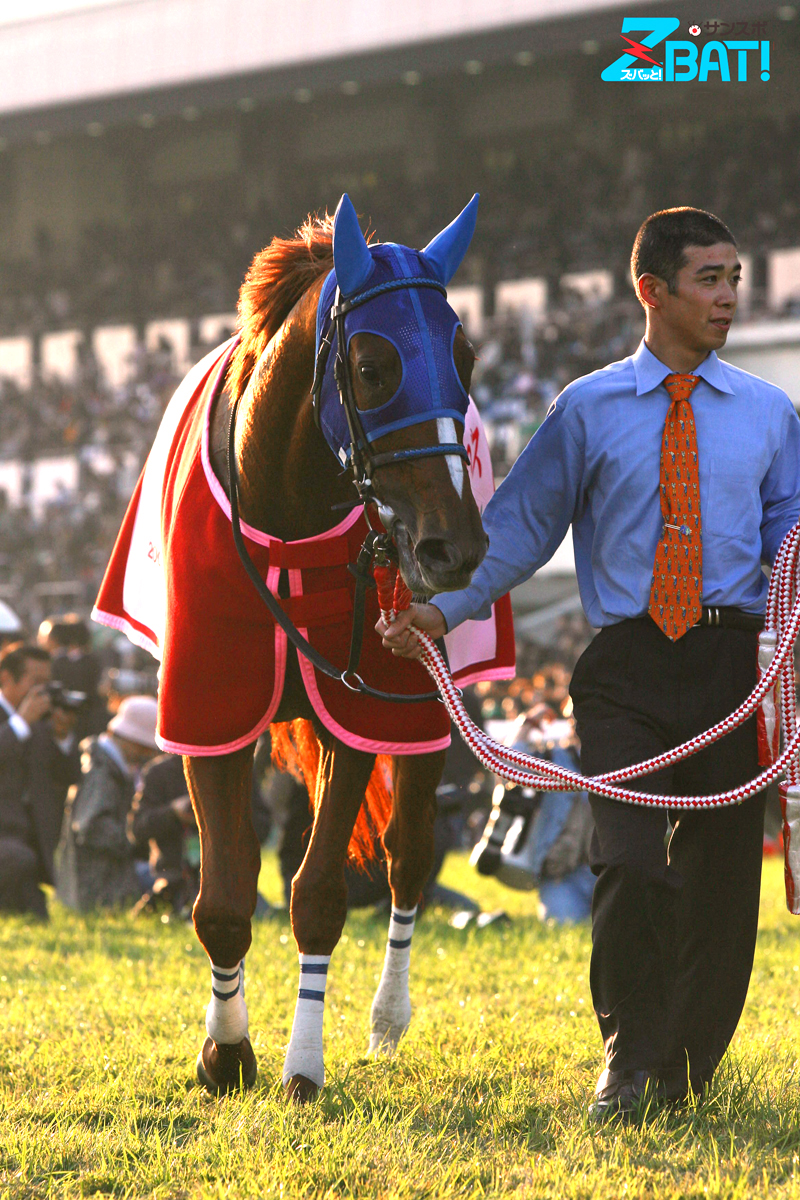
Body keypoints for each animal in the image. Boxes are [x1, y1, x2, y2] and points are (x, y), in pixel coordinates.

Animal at [94, 193, 499, 1101]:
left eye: (465, 355)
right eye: (373, 365)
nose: (452, 547)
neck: (284, 502)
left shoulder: (356, 701)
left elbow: (316, 894)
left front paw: (302, 1066)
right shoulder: (210, 703)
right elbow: (221, 897)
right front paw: (225, 1053)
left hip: (421, 702)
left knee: (409, 858)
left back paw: (387, 1020)